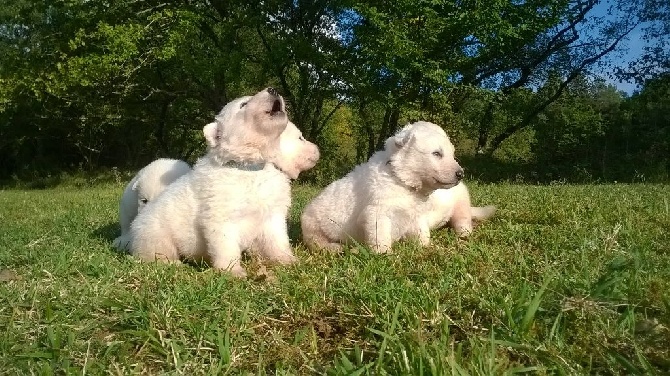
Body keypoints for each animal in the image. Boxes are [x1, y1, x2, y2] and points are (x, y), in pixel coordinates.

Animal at [131, 88, 320, 276]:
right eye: (243, 104)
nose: (273, 89)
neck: (250, 166)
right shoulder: (220, 209)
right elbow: (225, 242)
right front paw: (233, 271)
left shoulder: (272, 209)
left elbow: (277, 237)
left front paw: (288, 260)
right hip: (156, 232)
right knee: (157, 252)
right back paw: (173, 264)